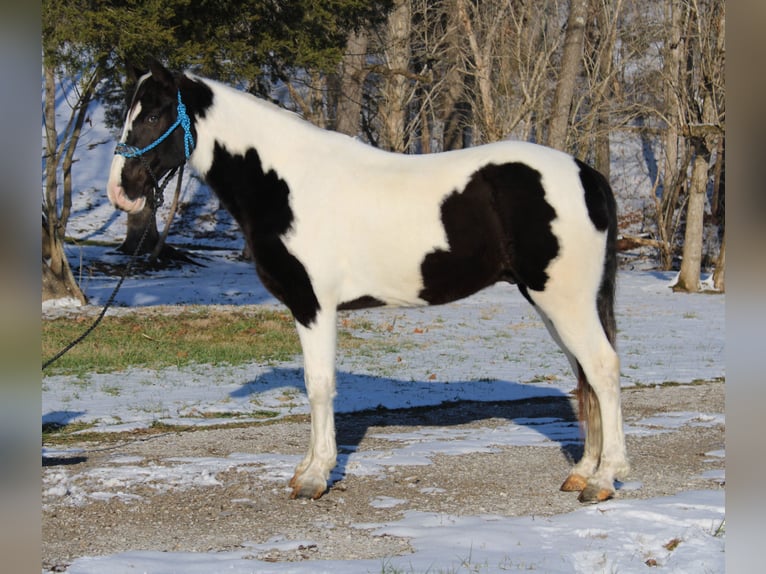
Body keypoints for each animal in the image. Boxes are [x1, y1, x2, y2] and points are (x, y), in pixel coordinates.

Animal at [106, 59, 632, 504]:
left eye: (153, 114)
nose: (121, 190)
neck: (286, 182)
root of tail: (585, 173)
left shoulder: (313, 305)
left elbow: (320, 385)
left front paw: (315, 478)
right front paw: (306, 469)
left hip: (565, 300)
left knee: (602, 369)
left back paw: (604, 480)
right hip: (554, 304)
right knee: (585, 376)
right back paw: (582, 472)